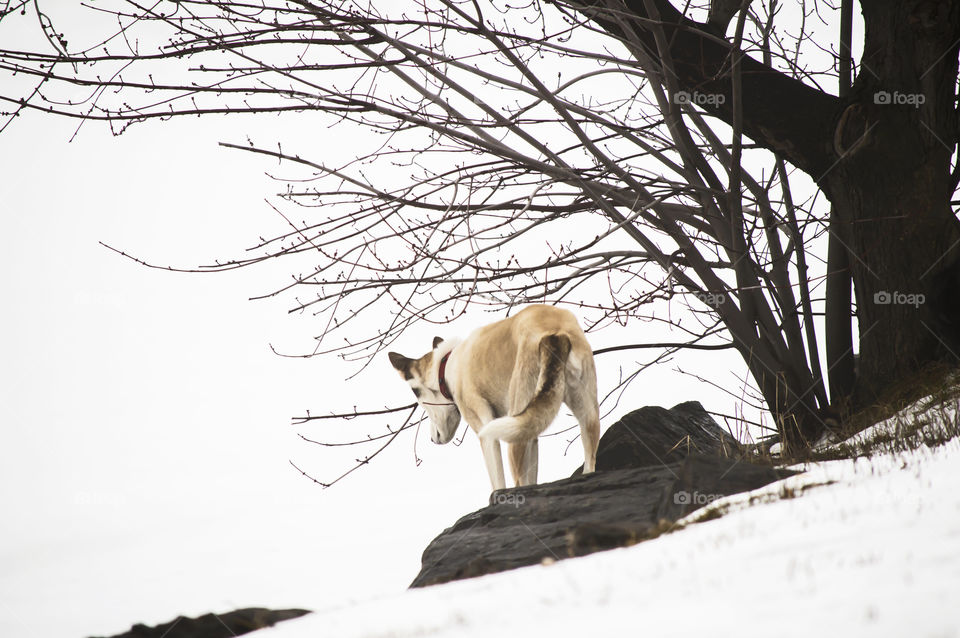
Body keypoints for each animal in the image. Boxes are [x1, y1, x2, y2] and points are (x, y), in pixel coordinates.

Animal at [388, 304, 600, 490]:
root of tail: (554, 334)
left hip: (515, 432)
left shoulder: (486, 433)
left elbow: (497, 483)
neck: (446, 365)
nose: (433, 439)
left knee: (517, 482)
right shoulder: (531, 434)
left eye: (415, 392)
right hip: (584, 419)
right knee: (589, 459)